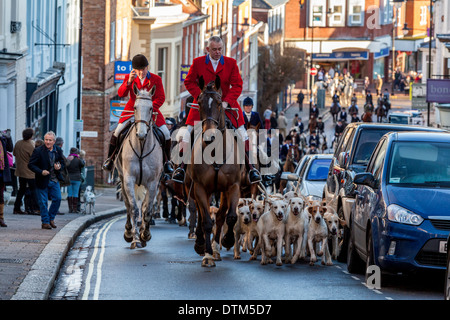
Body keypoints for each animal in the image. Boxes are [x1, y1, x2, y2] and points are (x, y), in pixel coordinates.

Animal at [115, 84, 164, 250]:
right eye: (135, 107)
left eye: (151, 108)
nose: (141, 134)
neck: (142, 147)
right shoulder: (129, 179)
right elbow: (134, 209)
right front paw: (135, 238)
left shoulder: (153, 183)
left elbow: (147, 210)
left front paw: (145, 235)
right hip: (122, 180)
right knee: (128, 205)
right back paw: (128, 232)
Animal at [185, 75, 243, 268]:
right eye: (199, 102)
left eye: (219, 103)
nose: (209, 137)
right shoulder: (201, 188)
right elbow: (206, 222)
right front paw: (207, 254)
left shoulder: (233, 187)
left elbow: (230, 217)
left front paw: (226, 240)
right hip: (196, 189)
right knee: (201, 214)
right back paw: (201, 243)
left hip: (222, 192)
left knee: (221, 215)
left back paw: (217, 247)